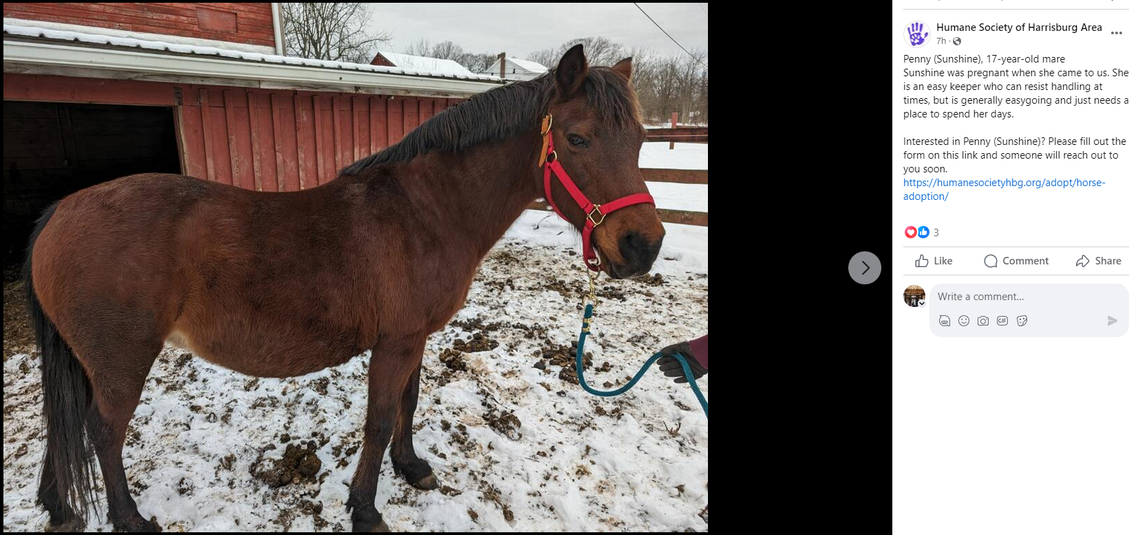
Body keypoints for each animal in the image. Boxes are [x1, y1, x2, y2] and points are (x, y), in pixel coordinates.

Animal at [23, 44, 664, 532]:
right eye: (577, 139)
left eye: (638, 140)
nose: (644, 245)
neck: (425, 212)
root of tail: (58, 214)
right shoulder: (395, 343)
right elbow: (378, 419)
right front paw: (365, 510)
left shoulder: (414, 338)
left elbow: (407, 404)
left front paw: (413, 468)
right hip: (121, 362)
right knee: (103, 433)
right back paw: (130, 520)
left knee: (65, 425)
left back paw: (59, 507)